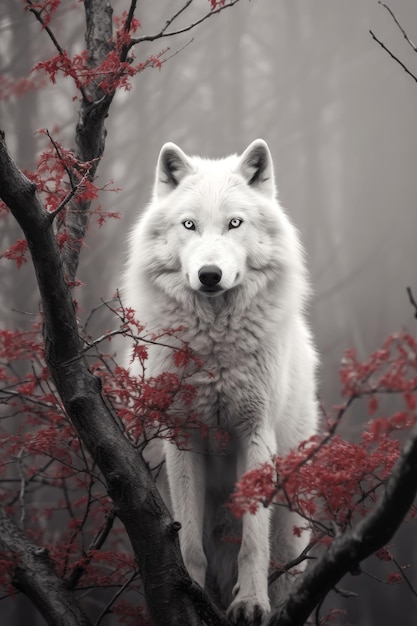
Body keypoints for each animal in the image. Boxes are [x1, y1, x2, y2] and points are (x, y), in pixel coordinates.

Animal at [122, 139, 316, 620]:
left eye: (235, 223)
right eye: (189, 225)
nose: (209, 275)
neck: (214, 345)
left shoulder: (256, 433)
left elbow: (253, 541)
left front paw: (251, 603)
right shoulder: (181, 434)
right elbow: (188, 541)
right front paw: (189, 596)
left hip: (292, 530)